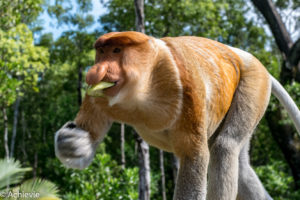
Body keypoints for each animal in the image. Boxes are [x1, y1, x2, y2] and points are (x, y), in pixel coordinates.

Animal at [54, 31, 300, 200]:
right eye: (101, 52)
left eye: (116, 51)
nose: (94, 73)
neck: (142, 88)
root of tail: (244, 55)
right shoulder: (97, 96)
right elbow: (87, 147)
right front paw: (71, 141)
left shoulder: (187, 87)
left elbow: (194, 156)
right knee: (240, 164)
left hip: (253, 82)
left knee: (225, 146)